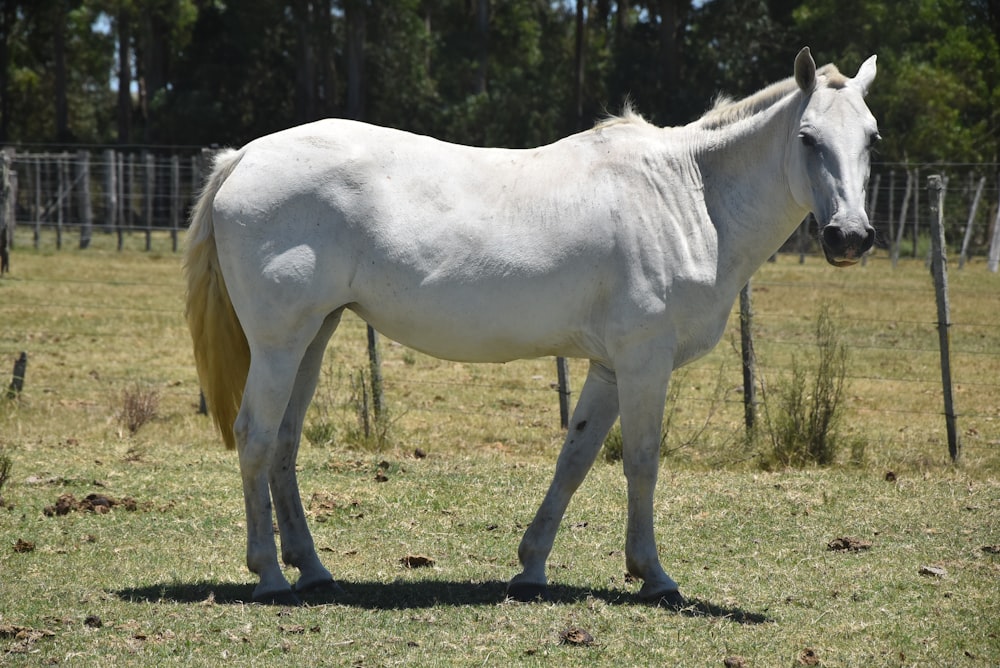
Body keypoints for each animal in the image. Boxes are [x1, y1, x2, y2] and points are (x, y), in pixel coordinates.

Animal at [186, 48, 876, 604]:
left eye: (870, 138)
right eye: (808, 138)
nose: (849, 237)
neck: (689, 196)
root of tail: (245, 156)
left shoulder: (608, 367)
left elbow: (575, 459)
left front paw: (531, 568)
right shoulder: (643, 361)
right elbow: (642, 463)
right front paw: (654, 576)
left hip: (314, 336)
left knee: (284, 444)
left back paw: (312, 569)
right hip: (278, 343)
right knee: (255, 438)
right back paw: (270, 574)